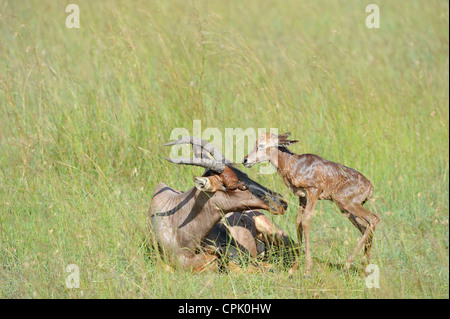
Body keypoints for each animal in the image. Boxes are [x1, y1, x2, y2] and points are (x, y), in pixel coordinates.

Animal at [243, 131, 380, 276]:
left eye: (261, 145)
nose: (245, 160)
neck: (294, 163)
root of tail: (370, 187)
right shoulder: (302, 198)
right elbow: (298, 222)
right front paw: (294, 268)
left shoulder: (314, 192)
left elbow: (306, 220)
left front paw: (307, 269)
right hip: (346, 209)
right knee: (365, 227)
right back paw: (365, 268)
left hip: (346, 203)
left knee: (374, 218)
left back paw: (348, 264)